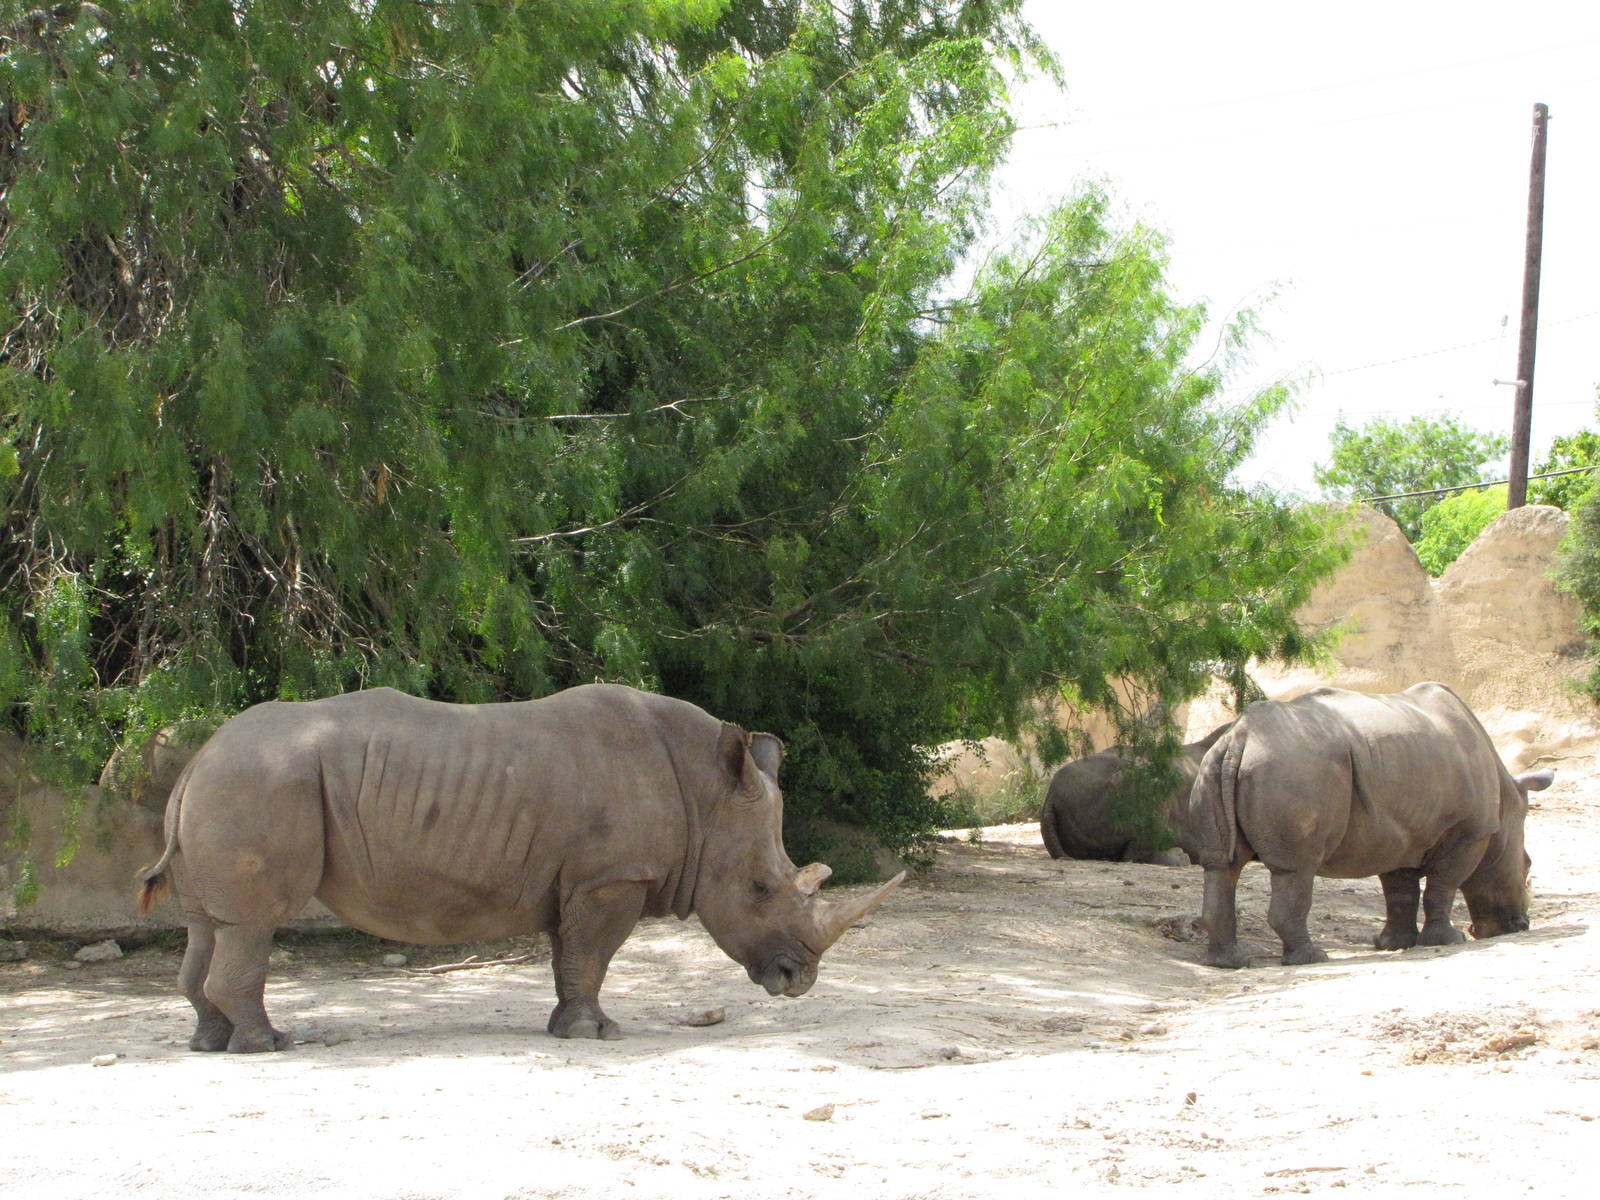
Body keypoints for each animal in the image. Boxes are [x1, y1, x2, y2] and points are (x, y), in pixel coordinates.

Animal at [137, 684, 903, 1052]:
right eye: (760, 888)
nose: (798, 981)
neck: (704, 797)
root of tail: (196, 760)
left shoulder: (580, 877)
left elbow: (571, 957)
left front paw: (570, 1028)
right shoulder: (611, 876)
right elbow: (593, 955)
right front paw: (599, 1035)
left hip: (229, 785)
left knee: (208, 926)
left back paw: (210, 1044)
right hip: (259, 782)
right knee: (254, 924)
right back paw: (269, 1046)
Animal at [1185, 682, 1552, 968]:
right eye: (1526, 866)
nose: (1520, 925)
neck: (1505, 804)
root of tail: (1241, 738)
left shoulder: (1400, 833)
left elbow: (1400, 891)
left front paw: (1393, 944)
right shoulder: (1470, 832)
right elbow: (1444, 885)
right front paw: (1449, 940)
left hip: (1215, 766)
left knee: (1220, 865)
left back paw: (1228, 963)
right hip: (1293, 768)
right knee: (1296, 868)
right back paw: (1312, 958)